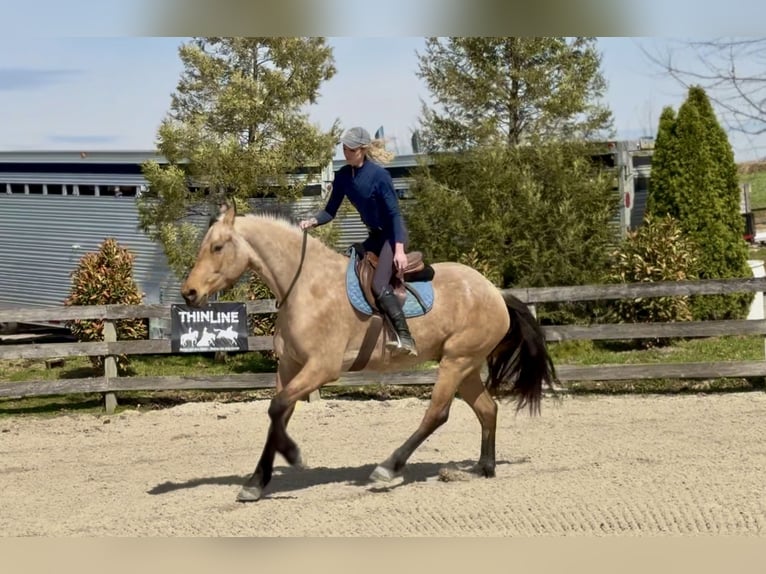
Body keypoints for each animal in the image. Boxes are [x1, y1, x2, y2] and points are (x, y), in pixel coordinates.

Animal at [181, 202, 557, 502]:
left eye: (217, 247)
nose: (189, 293)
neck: (305, 285)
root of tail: (495, 292)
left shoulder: (321, 368)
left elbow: (277, 409)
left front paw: (294, 456)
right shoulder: (289, 368)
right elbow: (278, 415)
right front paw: (257, 483)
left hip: (456, 362)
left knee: (437, 413)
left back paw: (388, 467)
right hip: (465, 365)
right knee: (487, 409)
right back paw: (483, 468)